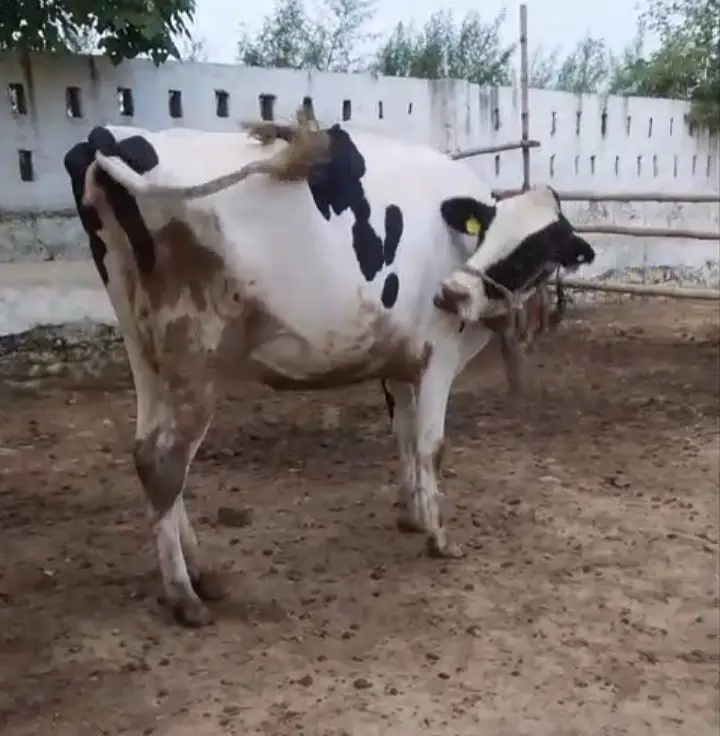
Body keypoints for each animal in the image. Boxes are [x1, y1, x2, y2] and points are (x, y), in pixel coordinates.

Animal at [63, 112, 595, 627]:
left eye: (535, 248)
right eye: (488, 232)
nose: (452, 293)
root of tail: (107, 137)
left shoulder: (398, 360)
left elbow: (403, 434)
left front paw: (413, 513)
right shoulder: (438, 356)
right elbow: (431, 446)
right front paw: (439, 537)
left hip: (144, 351)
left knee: (144, 454)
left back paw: (202, 574)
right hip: (195, 354)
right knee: (165, 462)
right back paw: (183, 595)